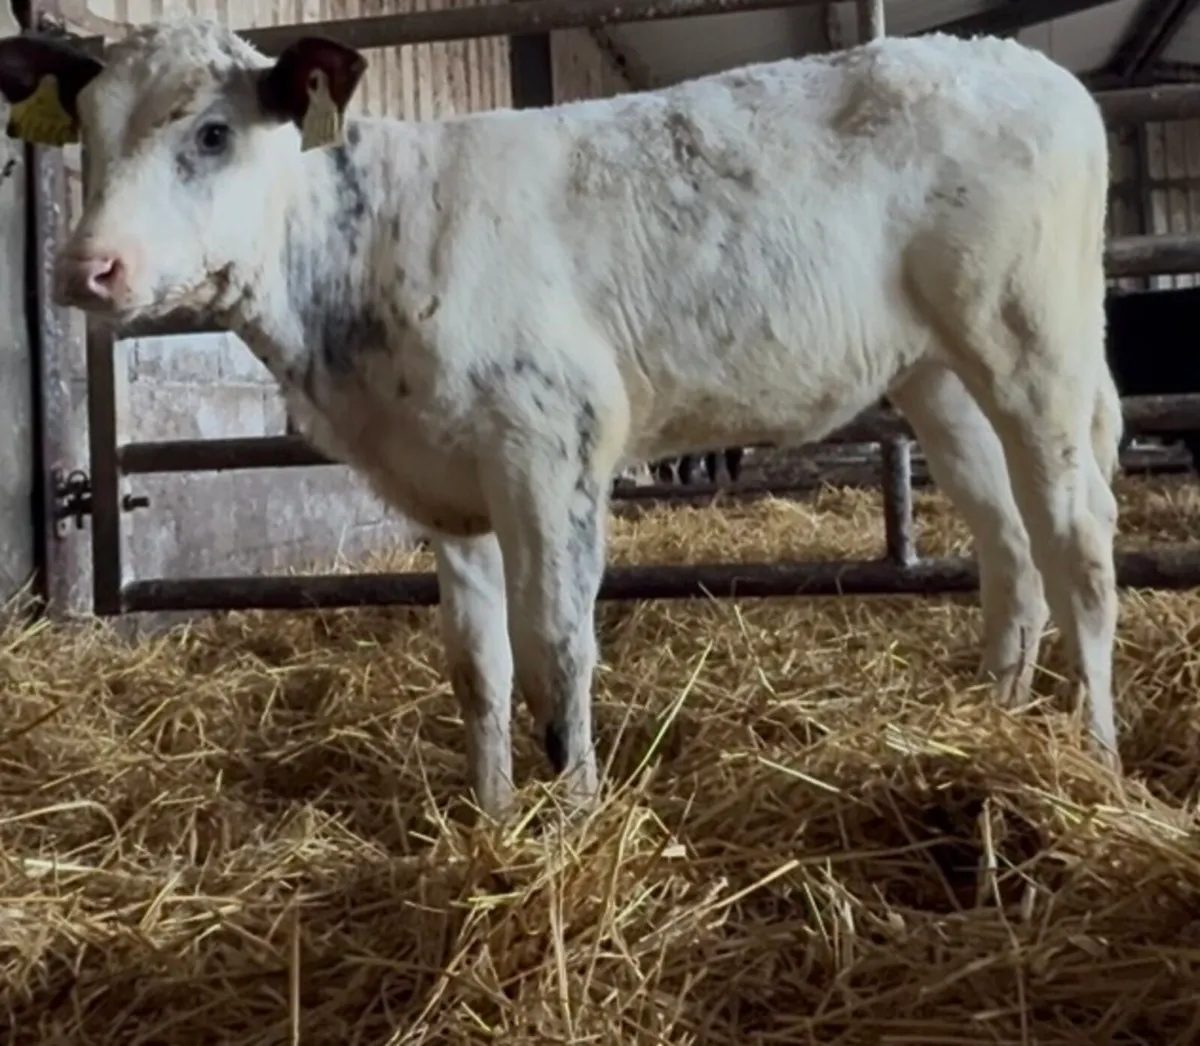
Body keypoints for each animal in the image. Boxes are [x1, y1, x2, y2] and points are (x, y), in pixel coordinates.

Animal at [0, 18, 1123, 818]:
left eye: (212, 131)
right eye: (86, 133)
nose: (85, 268)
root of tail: (1022, 63)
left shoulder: (552, 445)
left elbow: (558, 649)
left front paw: (575, 818)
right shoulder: (442, 484)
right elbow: (479, 666)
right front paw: (490, 820)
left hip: (1034, 342)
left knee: (1078, 542)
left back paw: (1096, 752)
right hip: (938, 376)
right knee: (1010, 545)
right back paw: (995, 722)